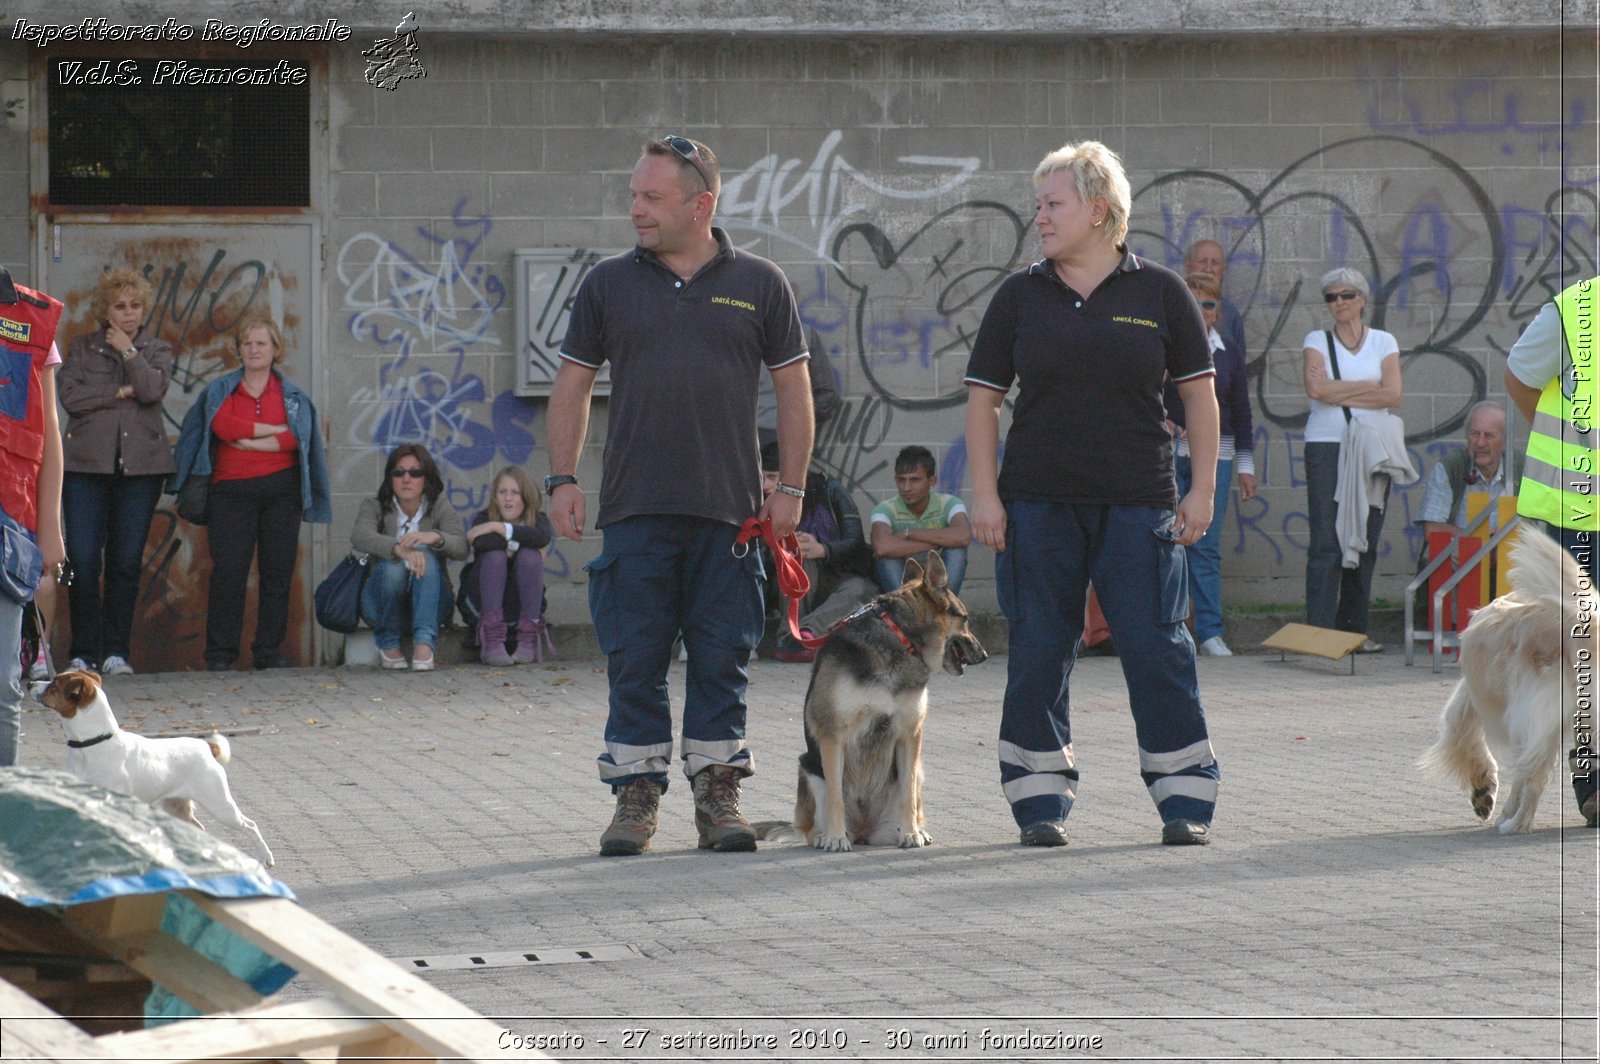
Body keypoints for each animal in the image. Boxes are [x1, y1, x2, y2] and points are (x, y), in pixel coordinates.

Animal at [764, 550, 979, 851]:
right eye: (965, 619)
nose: (983, 654)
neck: (897, 638)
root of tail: (865, 832)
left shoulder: (910, 735)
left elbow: (907, 795)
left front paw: (911, 833)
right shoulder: (833, 737)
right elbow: (836, 797)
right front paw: (835, 837)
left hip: (918, 771)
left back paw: (915, 830)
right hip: (809, 770)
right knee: (813, 821)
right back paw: (824, 836)